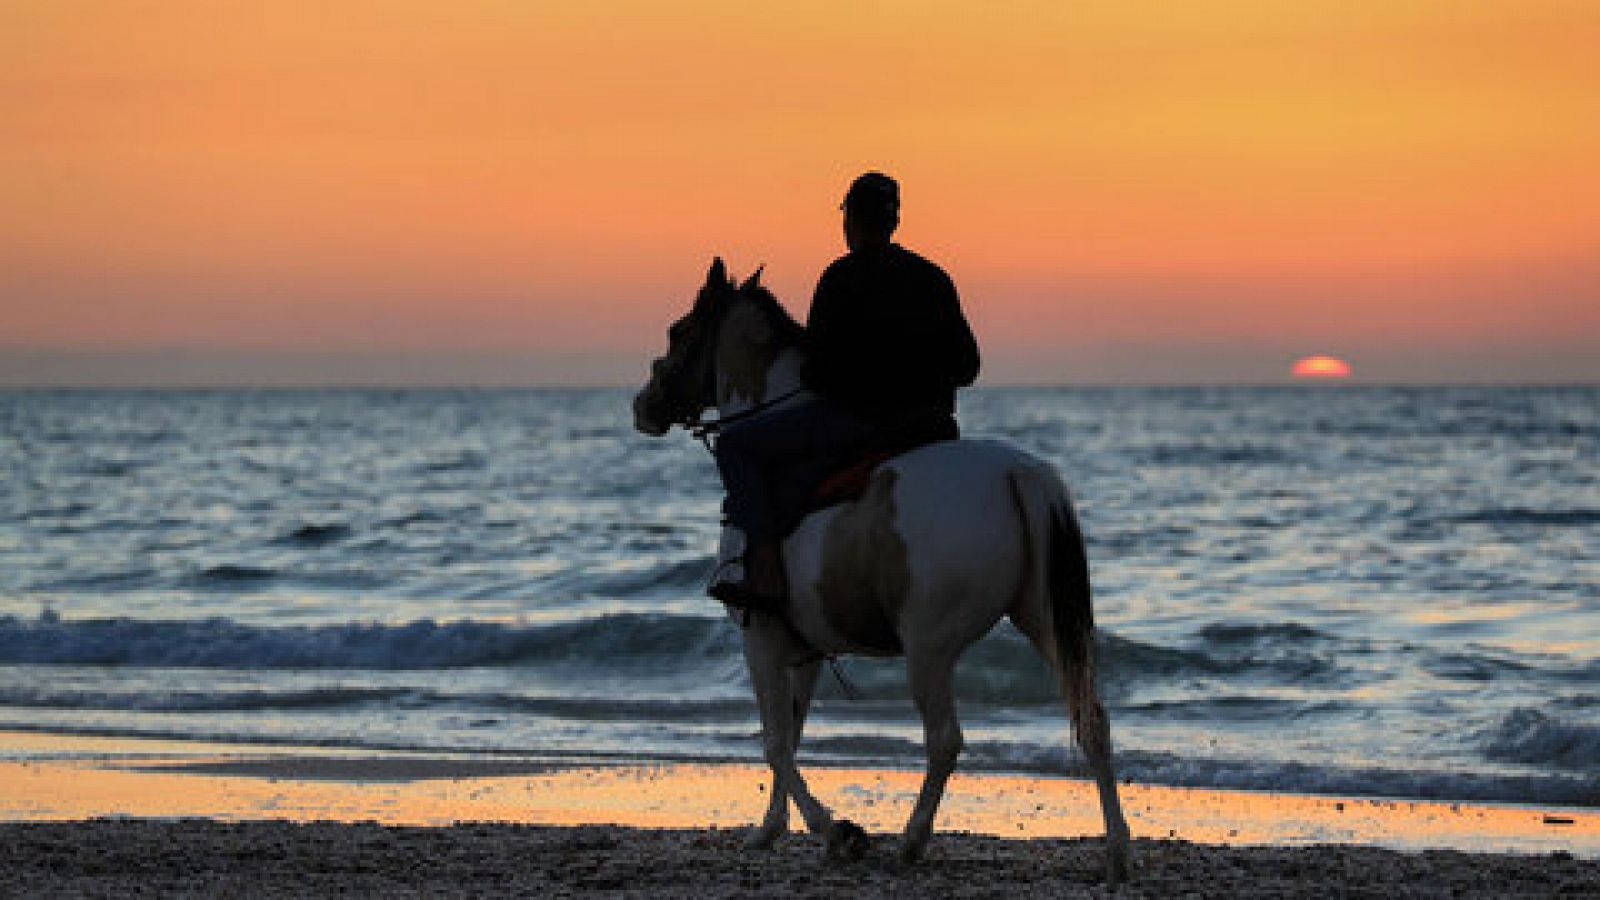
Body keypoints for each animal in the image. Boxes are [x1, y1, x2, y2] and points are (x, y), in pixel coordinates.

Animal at [630, 256, 1132, 877]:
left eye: (679, 333)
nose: (643, 405)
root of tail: (1018, 474)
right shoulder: (805, 648)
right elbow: (790, 735)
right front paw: (771, 830)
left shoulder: (761, 636)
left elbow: (775, 742)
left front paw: (835, 831)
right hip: (1042, 621)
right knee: (1092, 721)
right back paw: (1118, 852)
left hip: (929, 646)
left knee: (944, 739)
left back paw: (911, 841)